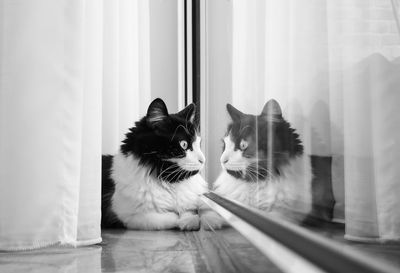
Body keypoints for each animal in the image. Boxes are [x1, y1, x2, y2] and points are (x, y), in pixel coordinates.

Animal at [101, 98, 208, 230]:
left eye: (198, 144)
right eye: (184, 144)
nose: (203, 160)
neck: (166, 181)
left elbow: (190, 212)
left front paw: (189, 221)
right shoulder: (129, 216)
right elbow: (170, 217)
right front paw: (182, 221)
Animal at [200, 99, 312, 228]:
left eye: (243, 145)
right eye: (225, 145)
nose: (222, 160)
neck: (255, 182)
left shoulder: (285, 213)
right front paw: (211, 219)